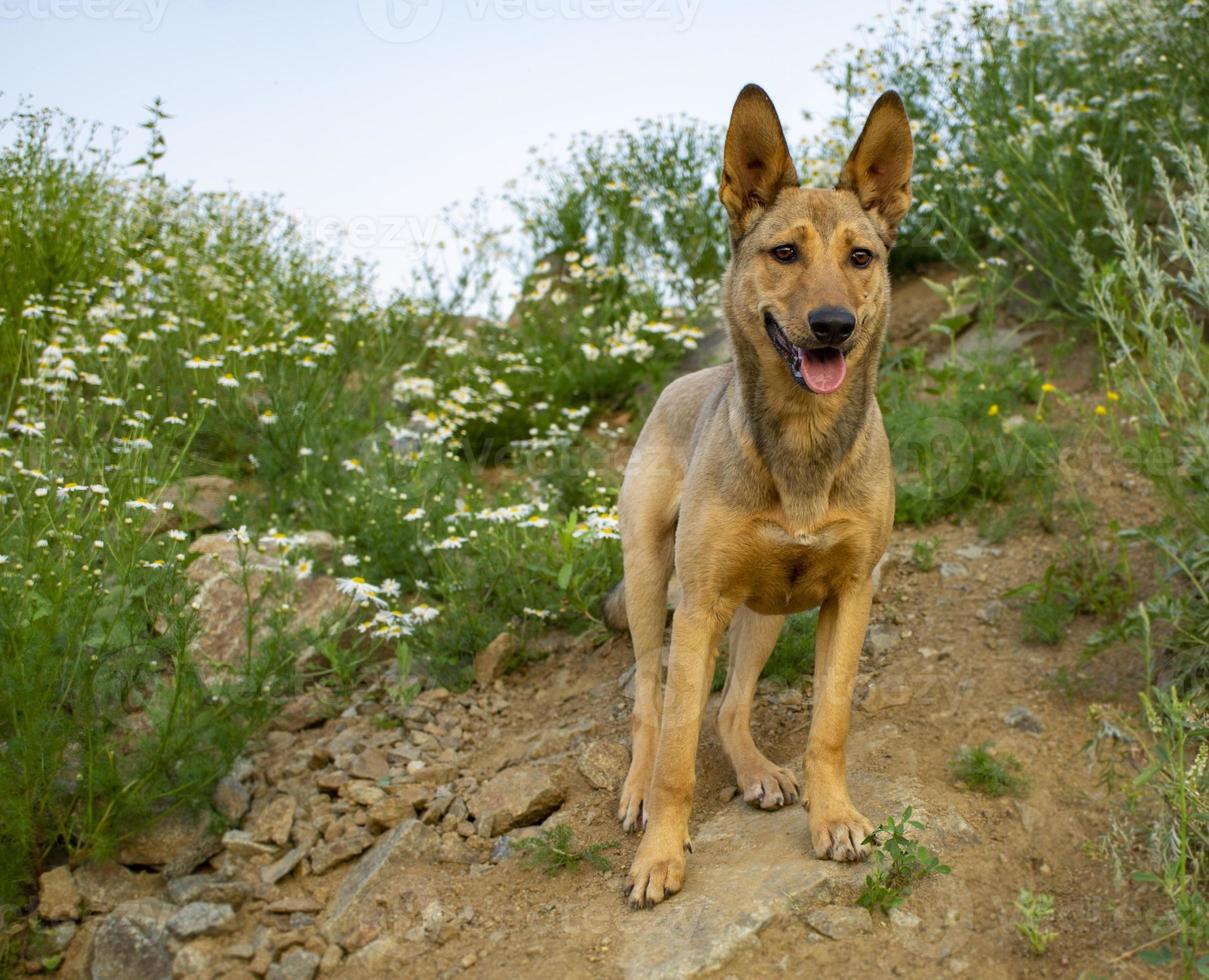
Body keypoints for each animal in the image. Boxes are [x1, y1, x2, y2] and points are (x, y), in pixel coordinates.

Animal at [604, 84, 914, 913]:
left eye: (860, 257)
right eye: (784, 253)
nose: (833, 326)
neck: (802, 442)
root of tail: (684, 380)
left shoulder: (848, 595)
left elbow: (827, 725)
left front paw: (832, 817)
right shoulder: (699, 604)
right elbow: (676, 753)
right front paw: (659, 854)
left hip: (765, 609)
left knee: (729, 705)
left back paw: (755, 772)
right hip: (652, 583)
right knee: (652, 704)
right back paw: (637, 793)